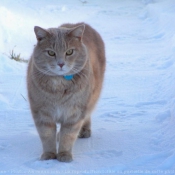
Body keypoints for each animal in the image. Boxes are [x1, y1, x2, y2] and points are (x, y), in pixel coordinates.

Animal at [26, 22, 105, 163]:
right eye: (51, 53)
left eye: (69, 52)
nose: (61, 64)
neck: (59, 85)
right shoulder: (41, 112)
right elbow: (47, 136)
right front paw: (49, 154)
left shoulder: (74, 113)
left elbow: (68, 136)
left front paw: (64, 154)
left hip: (91, 98)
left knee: (87, 115)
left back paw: (84, 131)